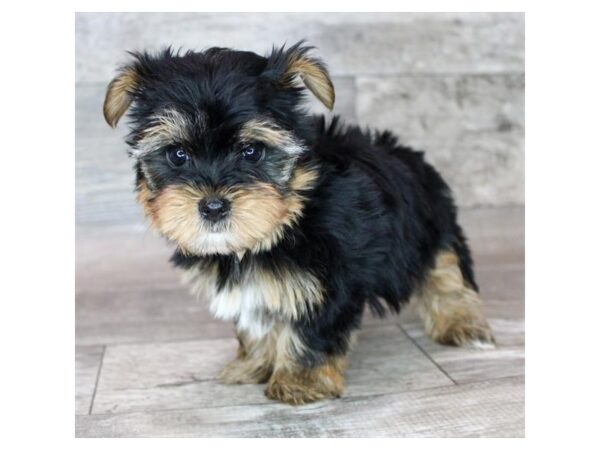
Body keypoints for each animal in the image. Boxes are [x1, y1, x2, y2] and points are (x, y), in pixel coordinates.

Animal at [104, 42, 496, 406]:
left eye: (251, 152)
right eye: (177, 155)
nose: (213, 206)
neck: (288, 216)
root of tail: (407, 154)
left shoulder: (328, 280)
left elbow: (312, 329)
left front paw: (299, 382)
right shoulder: (257, 289)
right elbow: (256, 321)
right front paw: (253, 364)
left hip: (428, 226)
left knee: (447, 270)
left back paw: (462, 324)